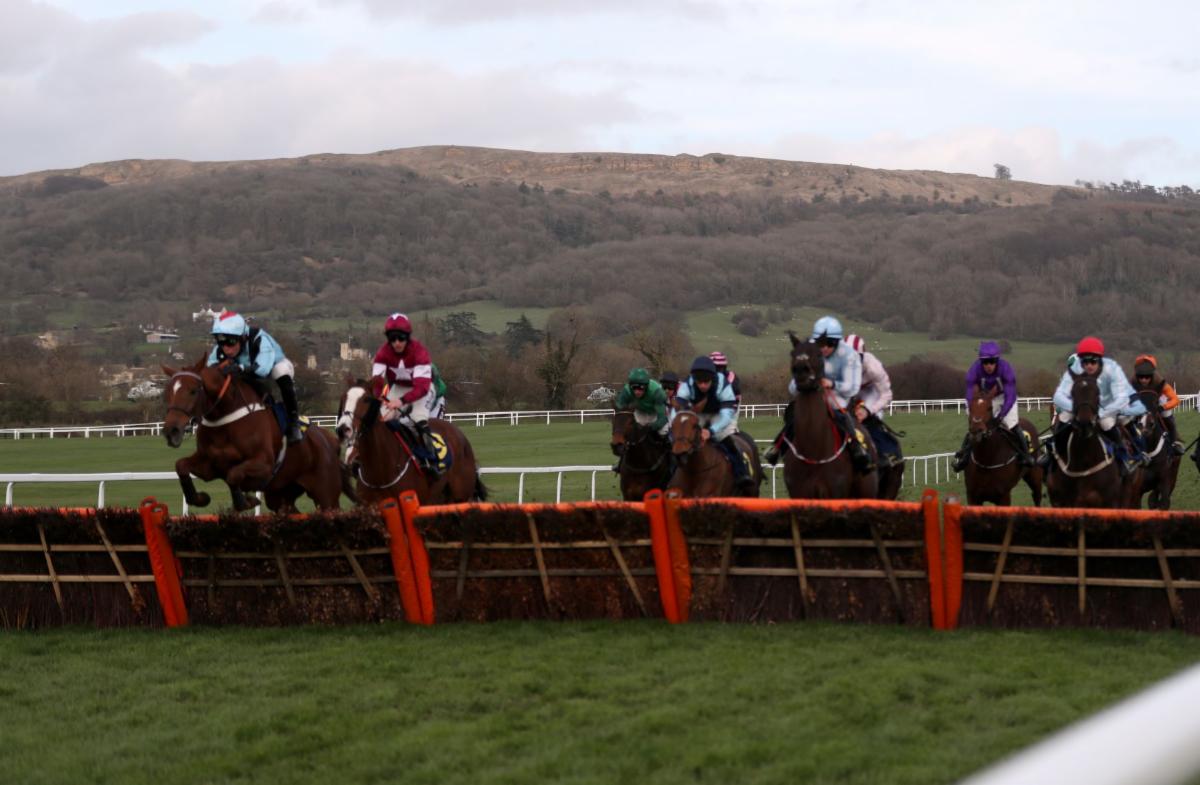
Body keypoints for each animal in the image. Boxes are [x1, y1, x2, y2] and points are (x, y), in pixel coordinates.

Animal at [161, 358, 354, 512]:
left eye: (193, 391)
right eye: (168, 392)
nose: (171, 431)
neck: (225, 423)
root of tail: (329, 440)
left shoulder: (264, 465)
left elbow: (234, 474)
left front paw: (246, 501)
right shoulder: (210, 466)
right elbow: (181, 465)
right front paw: (199, 498)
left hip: (326, 495)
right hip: (281, 495)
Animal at [780, 334, 878, 499]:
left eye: (818, 354)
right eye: (792, 353)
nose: (801, 370)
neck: (813, 450)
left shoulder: (835, 492)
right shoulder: (800, 492)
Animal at [1045, 372, 1142, 508]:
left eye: (1097, 393)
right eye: (1073, 393)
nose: (1085, 423)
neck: (1082, 465)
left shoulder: (1109, 504)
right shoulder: (1059, 503)